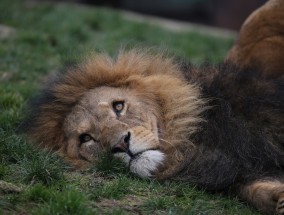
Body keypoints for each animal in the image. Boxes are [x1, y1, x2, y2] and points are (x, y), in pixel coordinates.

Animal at [25, 0, 282, 214]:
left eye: (118, 106)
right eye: (86, 139)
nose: (121, 144)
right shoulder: (235, 171)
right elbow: (252, 189)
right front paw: (277, 199)